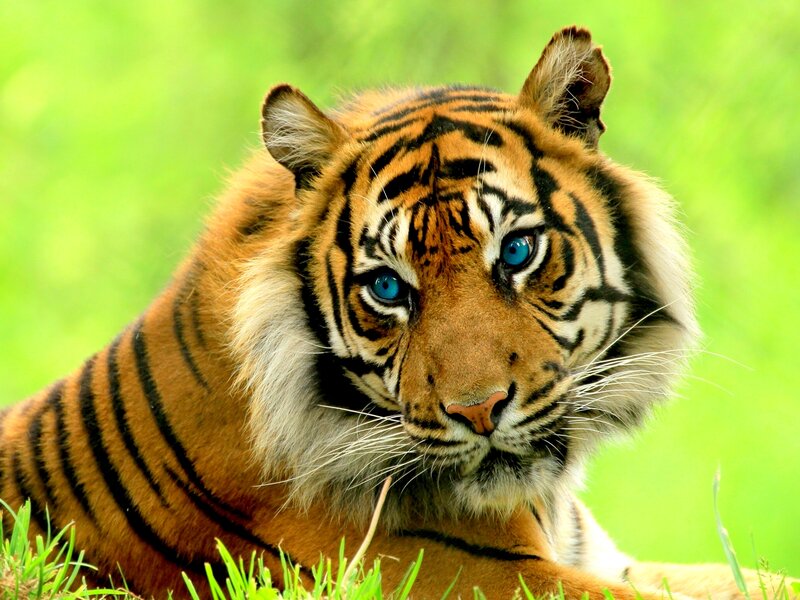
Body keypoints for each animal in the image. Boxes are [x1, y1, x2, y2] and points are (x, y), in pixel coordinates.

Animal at [0, 25, 794, 599]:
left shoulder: (609, 559)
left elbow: (756, 578)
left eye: (516, 251)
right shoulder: (473, 575)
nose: (477, 411)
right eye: (387, 288)